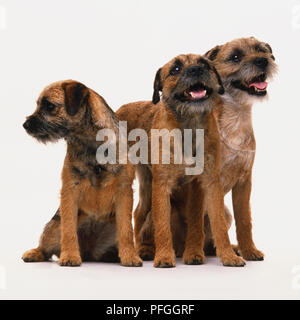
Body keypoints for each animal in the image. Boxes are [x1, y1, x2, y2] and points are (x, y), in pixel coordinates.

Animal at [22, 80, 142, 268]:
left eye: (49, 106)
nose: (25, 125)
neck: (92, 144)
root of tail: (88, 251)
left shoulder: (124, 192)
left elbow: (126, 230)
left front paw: (130, 256)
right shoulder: (69, 190)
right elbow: (69, 229)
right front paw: (70, 256)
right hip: (53, 227)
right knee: (46, 247)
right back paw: (35, 253)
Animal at [116, 53, 245, 268]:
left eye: (204, 64)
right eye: (175, 69)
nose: (196, 70)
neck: (189, 125)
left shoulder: (208, 184)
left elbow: (213, 222)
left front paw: (225, 255)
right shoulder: (162, 185)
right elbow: (162, 225)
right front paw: (164, 257)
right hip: (148, 188)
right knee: (141, 215)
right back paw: (144, 249)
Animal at [137, 36, 278, 262]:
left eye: (261, 50)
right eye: (235, 56)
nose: (262, 61)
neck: (234, 119)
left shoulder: (244, 182)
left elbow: (244, 220)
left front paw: (249, 250)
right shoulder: (206, 183)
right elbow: (200, 220)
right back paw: (151, 250)